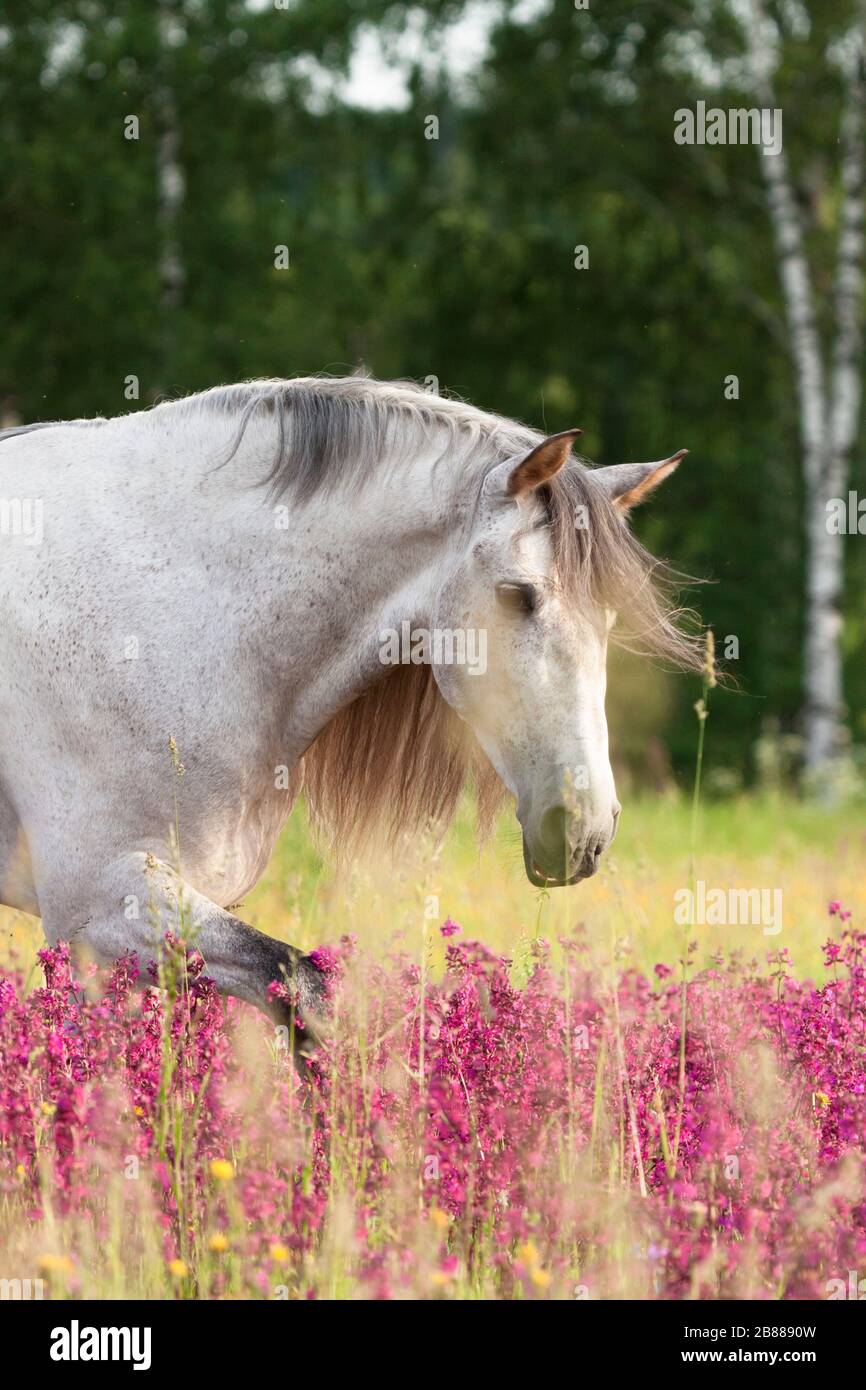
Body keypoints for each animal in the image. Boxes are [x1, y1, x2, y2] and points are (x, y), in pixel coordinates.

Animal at [0, 375, 695, 1045]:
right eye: (517, 594)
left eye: (607, 617)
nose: (585, 831)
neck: (162, 606)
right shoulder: (98, 908)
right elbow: (304, 990)